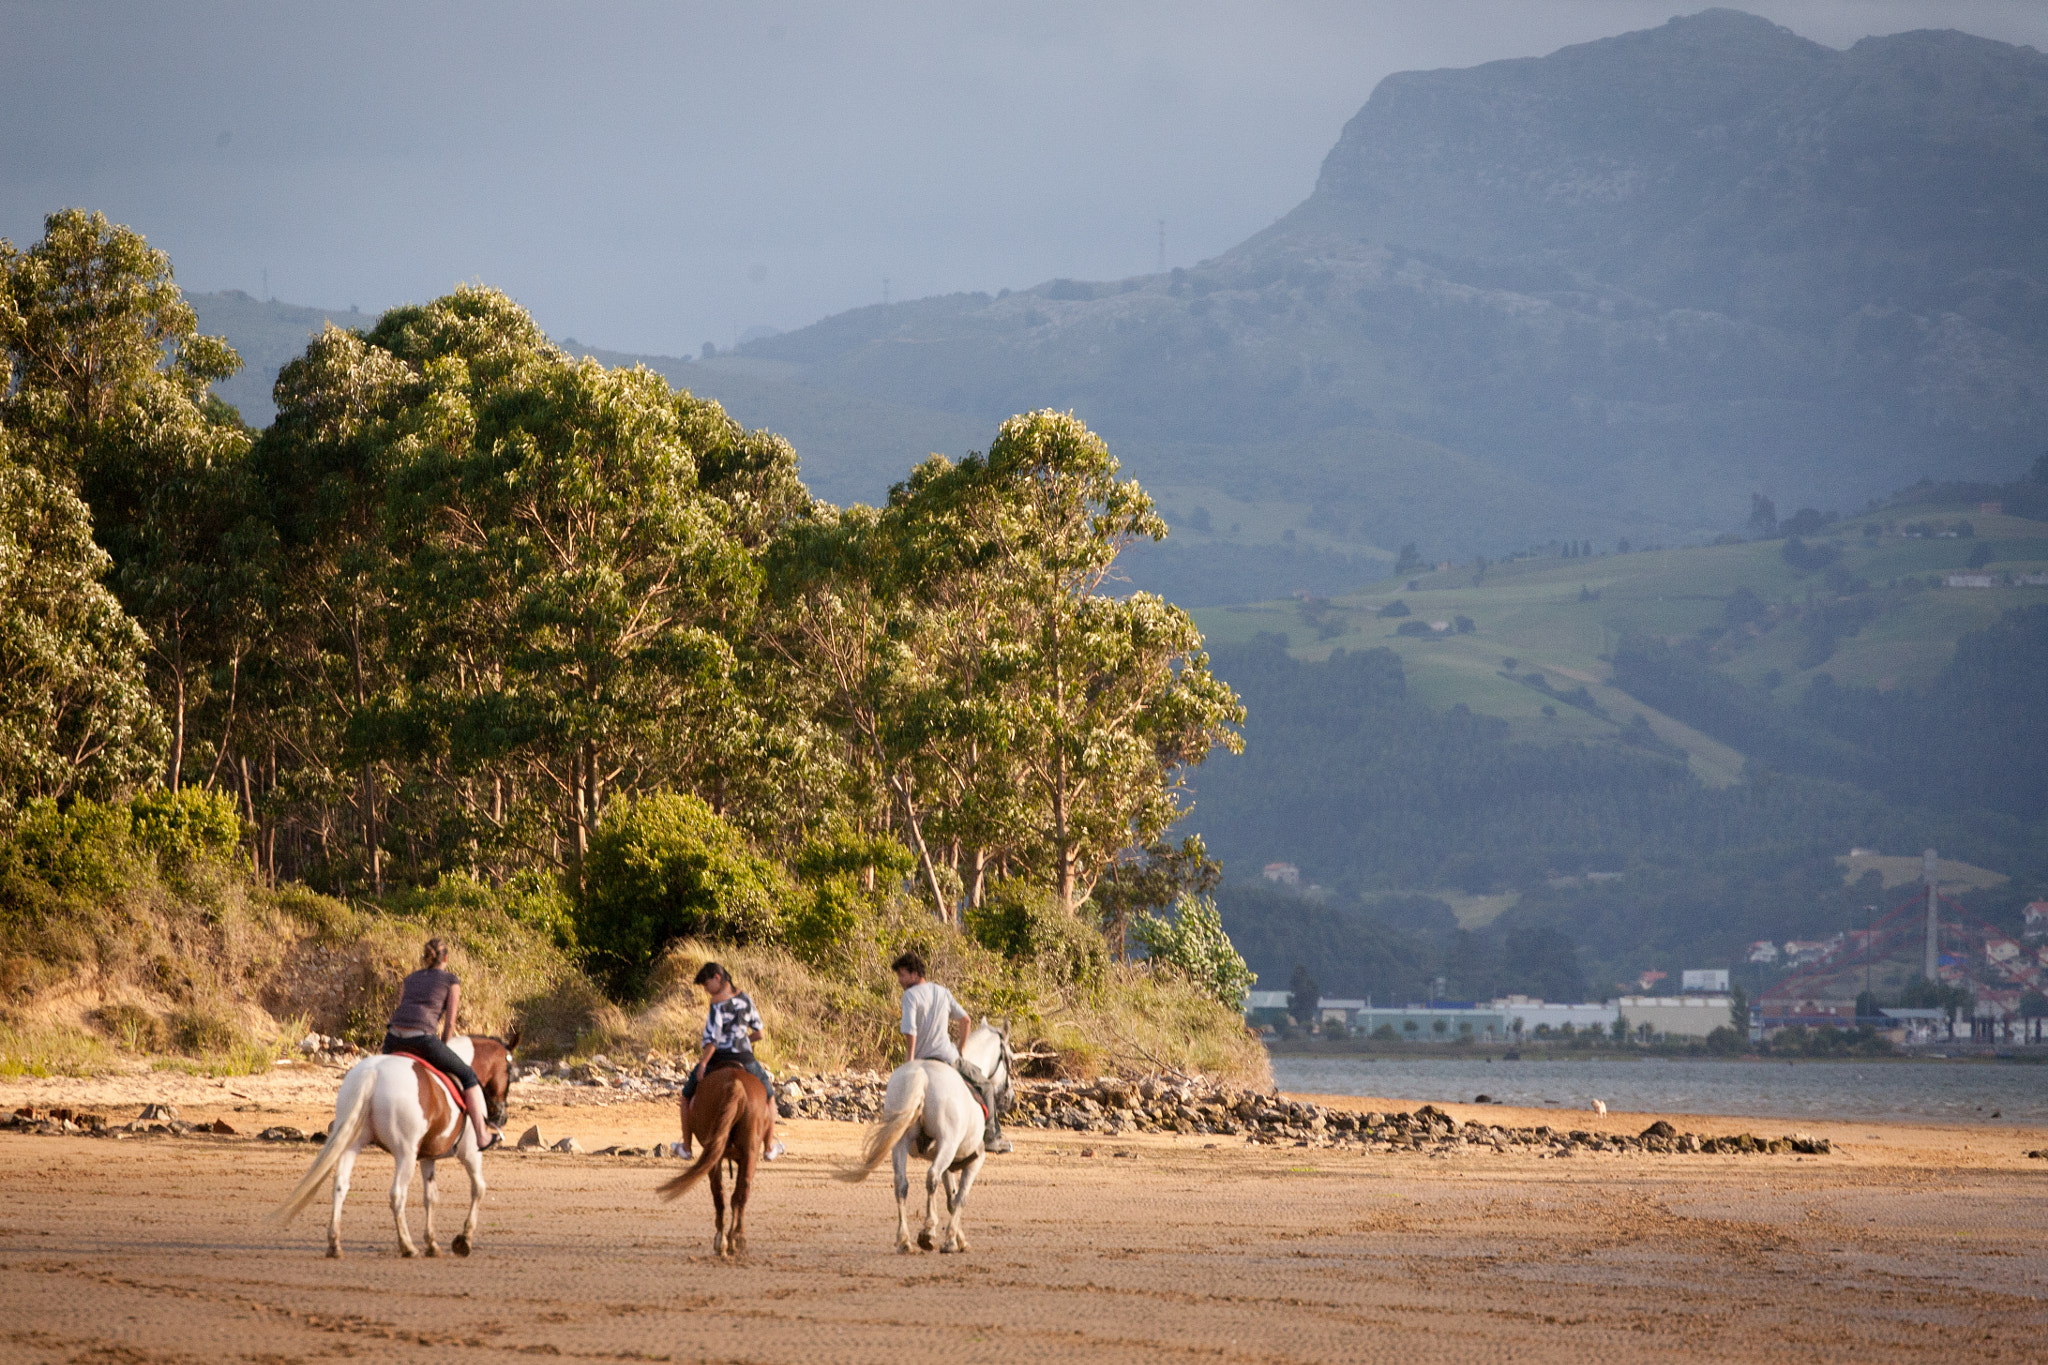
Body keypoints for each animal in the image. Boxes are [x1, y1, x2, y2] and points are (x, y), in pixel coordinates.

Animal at [270, 1030, 517, 1259]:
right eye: (510, 1073)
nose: (502, 1116)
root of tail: (373, 1073)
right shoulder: (470, 1153)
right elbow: (478, 1189)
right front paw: (464, 1240)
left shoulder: (428, 1158)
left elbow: (431, 1198)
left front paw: (432, 1243)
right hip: (405, 1154)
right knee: (397, 1195)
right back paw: (407, 1246)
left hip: (351, 1144)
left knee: (340, 1186)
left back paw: (335, 1244)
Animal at [655, 1060, 773, 1257]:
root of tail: (736, 1084)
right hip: (747, 1153)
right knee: (736, 1193)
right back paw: (733, 1239)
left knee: (723, 1193)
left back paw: (726, 1240)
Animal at [838, 1021, 1012, 1254]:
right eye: (1010, 1058)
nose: (1009, 1097)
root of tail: (922, 1075)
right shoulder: (975, 1160)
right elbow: (960, 1198)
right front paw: (952, 1240)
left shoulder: (949, 1163)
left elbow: (951, 1198)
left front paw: (958, 1238)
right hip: (947, 1143)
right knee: (932, 1178)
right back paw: (927, 1232)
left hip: (901, 1144)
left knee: (901, 1184)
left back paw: (904, 1240)